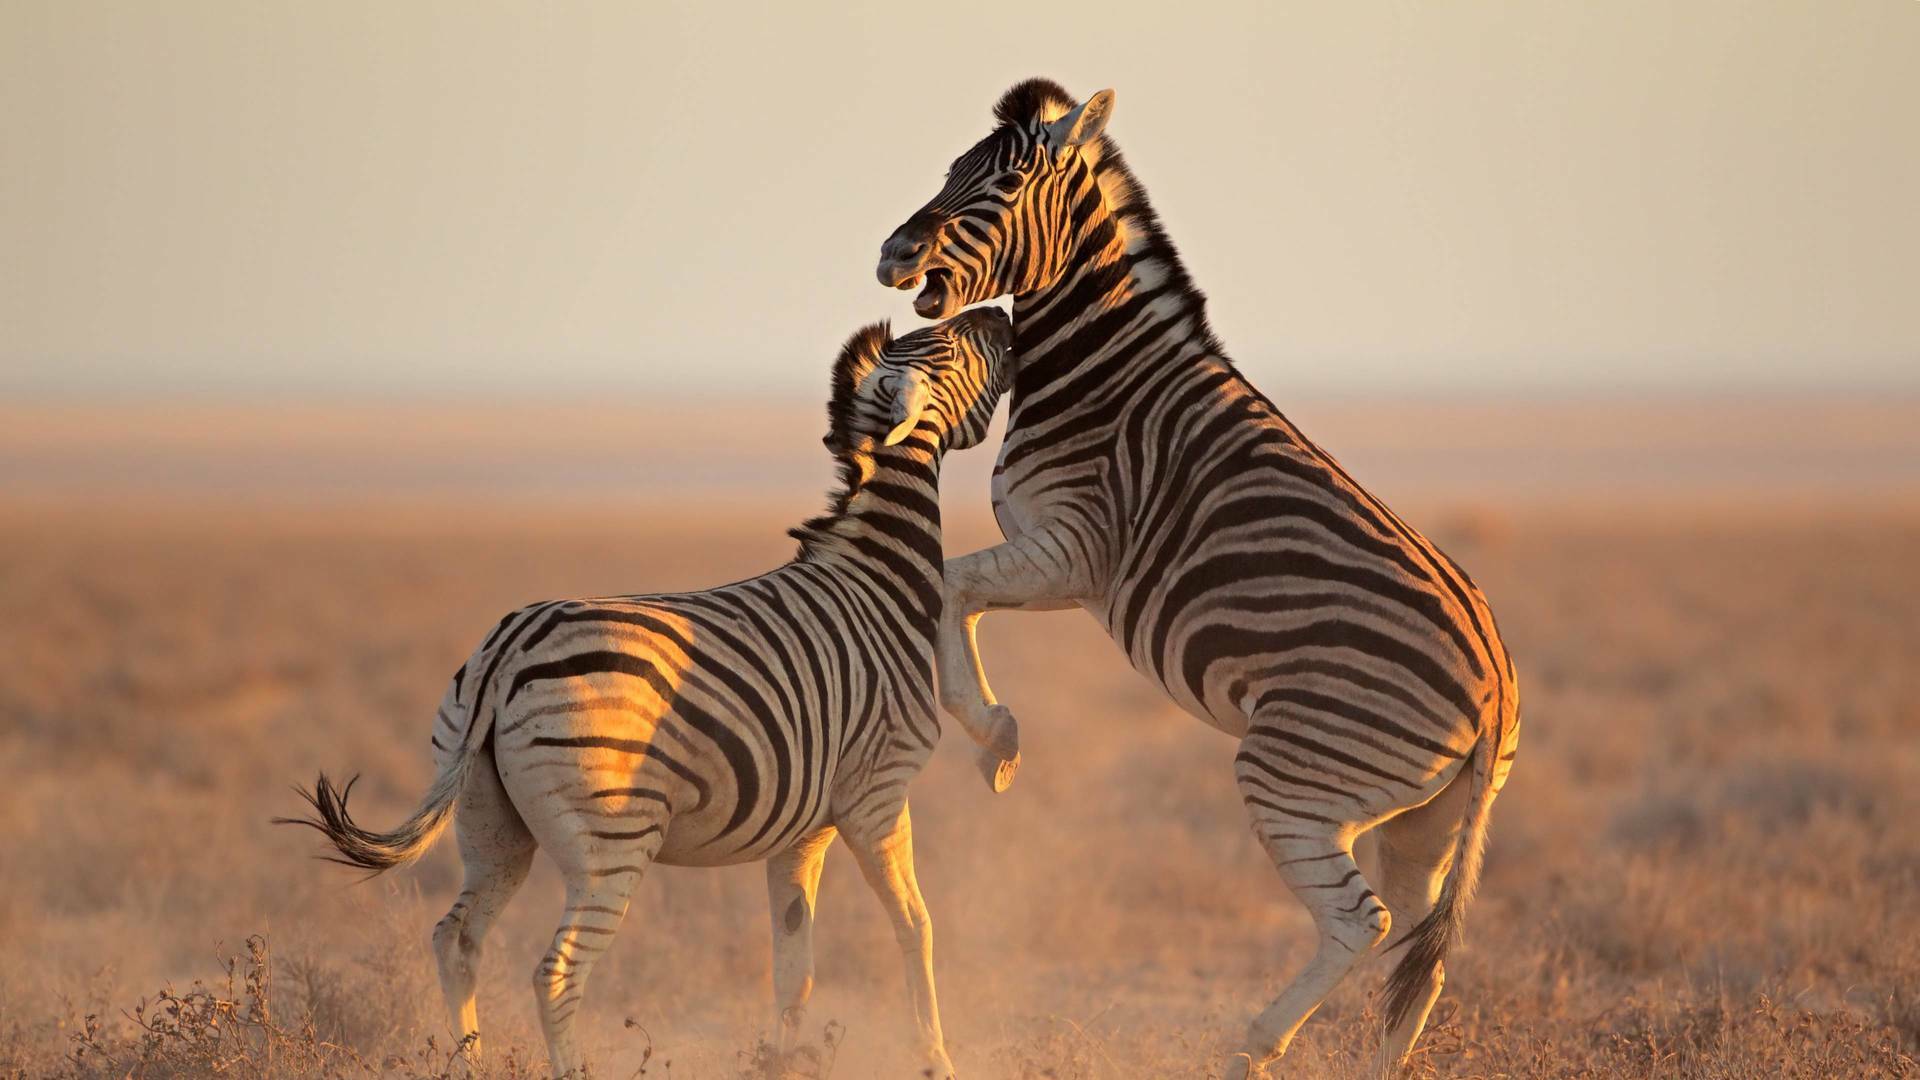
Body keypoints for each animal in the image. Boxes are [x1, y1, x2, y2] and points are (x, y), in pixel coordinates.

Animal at [280, 305, 1021, 1076]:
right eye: (950, 348)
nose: (1001, 317)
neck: (877, 579)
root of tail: (505, 654)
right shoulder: (878, 793)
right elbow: (916, 927)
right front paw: (936, 1058)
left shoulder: (804, 828)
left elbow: (794, 967)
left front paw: (781, 1062)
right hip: (613, 842)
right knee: (555, 973)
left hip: (490, 825)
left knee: (457, 940)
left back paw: (471, 1062)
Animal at [871, 79, 1512, 1068]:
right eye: (952, 171)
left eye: (1003, 184)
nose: (893, 253)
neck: (1102, 371)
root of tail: (1498, 688)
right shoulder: (1058, 556)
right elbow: (958, 593)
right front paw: (995, 738)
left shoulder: (1075, 550)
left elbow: (952, 585)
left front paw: (995, 736)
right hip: (1425, 820)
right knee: (1416, 953)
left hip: (1295, 774)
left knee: (1359, 923)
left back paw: (1254, 1043)